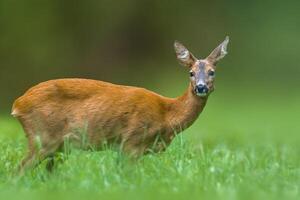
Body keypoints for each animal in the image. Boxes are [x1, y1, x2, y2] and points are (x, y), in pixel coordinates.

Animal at [10, 36, 229, 172]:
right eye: (191, 73)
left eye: (212, 72)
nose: (201, 87)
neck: (167, 115)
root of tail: (18, 104)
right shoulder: (131, 140)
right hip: (43, 137)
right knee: (18, 172)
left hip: (58, 146)